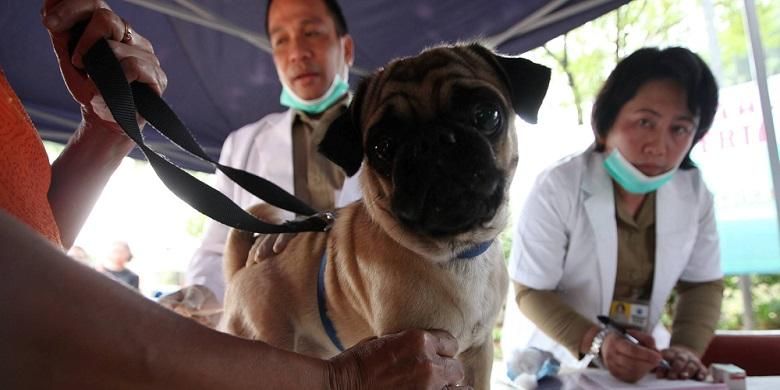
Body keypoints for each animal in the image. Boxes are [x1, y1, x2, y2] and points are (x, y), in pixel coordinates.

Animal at [219, 42, 548, 386]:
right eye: (383, 147)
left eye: (486, 115)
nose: (432, 140)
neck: (457, 253)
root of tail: (241, 269)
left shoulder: (479, 353)